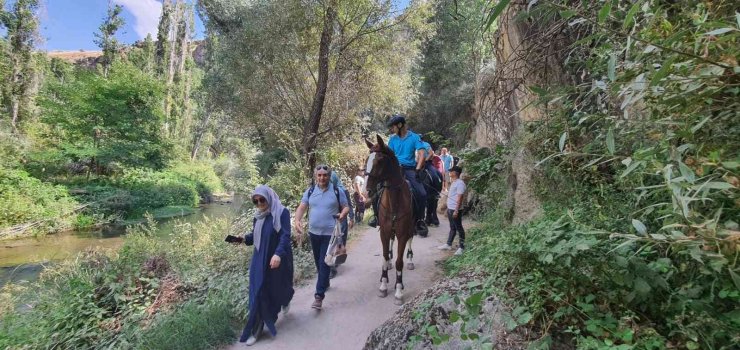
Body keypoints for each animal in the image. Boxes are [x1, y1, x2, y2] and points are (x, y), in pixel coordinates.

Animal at [366, 135, 416, 304]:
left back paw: (410, 260)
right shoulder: (384, 232)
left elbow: (399, 262)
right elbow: (384, 256)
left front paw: (399, 291)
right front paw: (383, 285)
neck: (394, 200)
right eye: (367, 159)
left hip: (411, 227)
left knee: (410, 239)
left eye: (380, 161)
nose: (367, 191)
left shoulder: (402, 233)